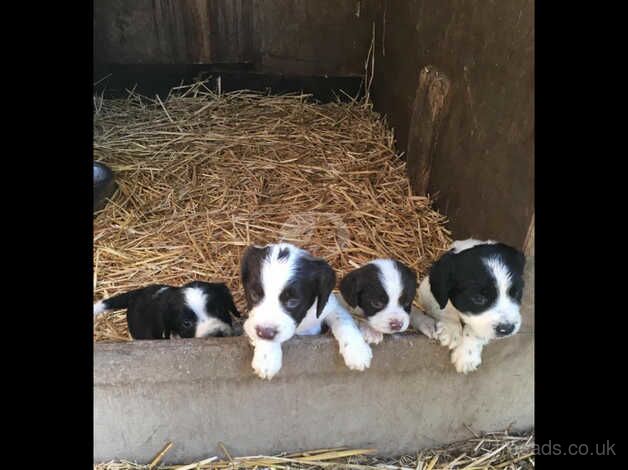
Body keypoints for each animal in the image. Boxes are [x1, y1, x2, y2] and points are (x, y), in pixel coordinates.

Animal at [239, 244, 368, 380]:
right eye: (254, 295)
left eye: (293, 302)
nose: (264, 333)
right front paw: (266, 357)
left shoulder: (330, 307)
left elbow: (343, 320)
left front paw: (357, 350)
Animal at [410, 241, 528, 372]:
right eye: (478, 298)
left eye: (516, 293)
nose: (506, 329)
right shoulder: (426, 290)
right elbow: (445, 307)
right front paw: (451, 330)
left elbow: (475, 329)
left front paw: (467, 355)